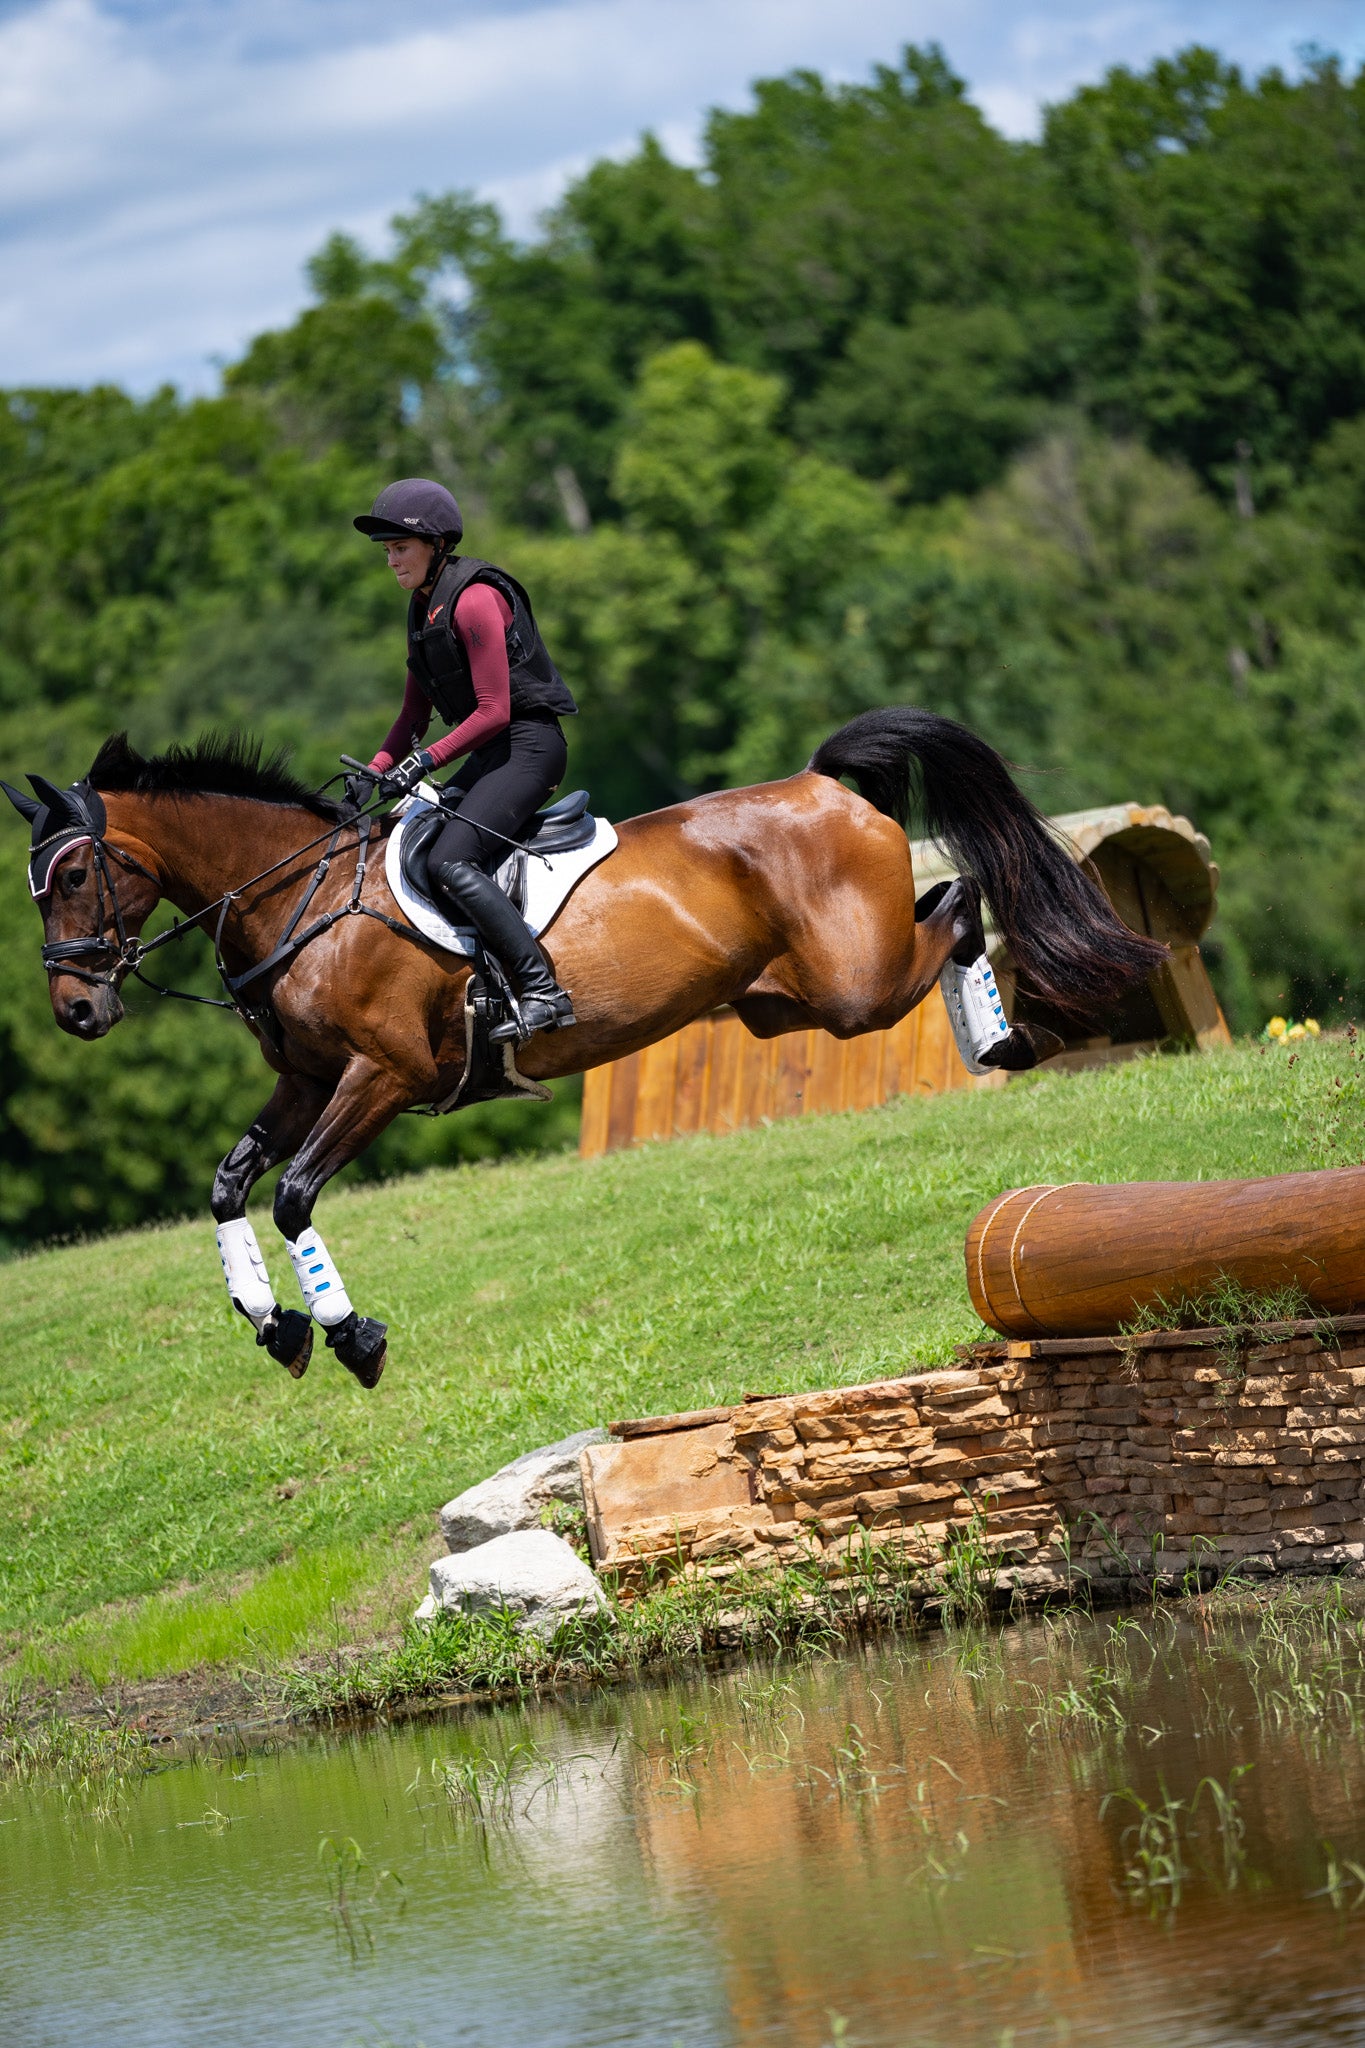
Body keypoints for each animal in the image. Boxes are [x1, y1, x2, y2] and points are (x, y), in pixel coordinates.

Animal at [5, 708, 1170, 1392]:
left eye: (75, 874)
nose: (75, 1011)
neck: (304, 898)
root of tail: (821, 783)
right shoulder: (305, 1080)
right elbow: (227, 1184)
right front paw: (273, 1324)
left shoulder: (383, 1077)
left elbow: (290, 1195)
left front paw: (349, 1336)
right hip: (778, 1000)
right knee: (942, 910)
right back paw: (1002, 1037)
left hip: (856, 985)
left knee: (961, 901)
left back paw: (1008, 1037)